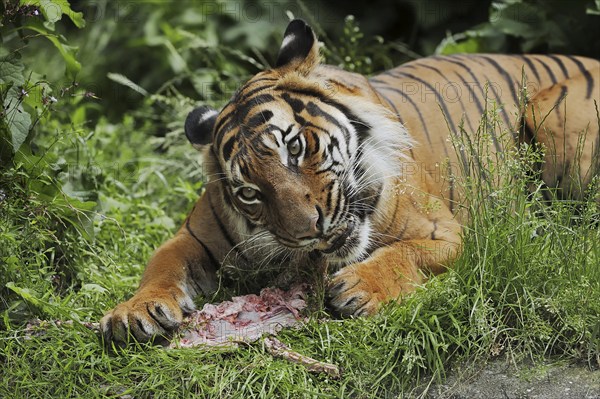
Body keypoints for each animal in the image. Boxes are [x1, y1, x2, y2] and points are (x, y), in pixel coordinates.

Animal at [101, 19, 596, 344]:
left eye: (295, 147)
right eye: (249, 193)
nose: (309, 231)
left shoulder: (448, 232)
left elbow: (405, 253)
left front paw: (361, 287)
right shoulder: (194, 236)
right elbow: (161, 264)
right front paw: (134, 312)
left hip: (554, 115)